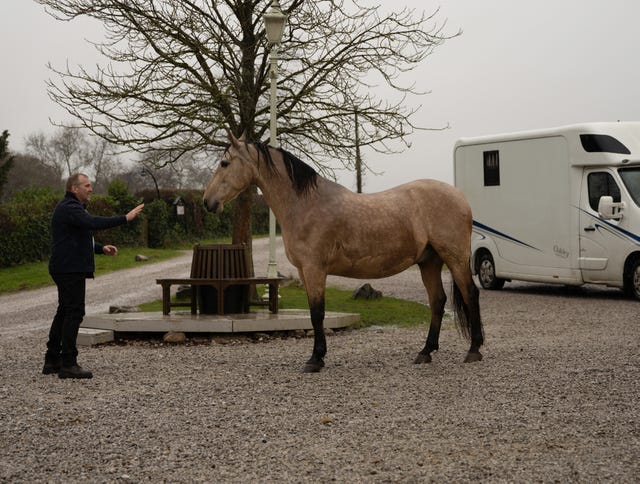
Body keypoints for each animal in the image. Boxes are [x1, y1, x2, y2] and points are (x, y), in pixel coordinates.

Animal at [206, 134, 484, 372]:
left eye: (224, 163)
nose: (208, 202)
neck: (305, 204)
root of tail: (460, 197)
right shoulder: (304, 271)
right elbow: (313, 312)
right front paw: (318, 356)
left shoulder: (315, 270)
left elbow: (317, 313)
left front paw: (315, 359)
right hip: (429, 262)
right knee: (437, 301)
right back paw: (425, 352)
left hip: (455, 258)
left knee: (470, 294)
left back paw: (474, 350)